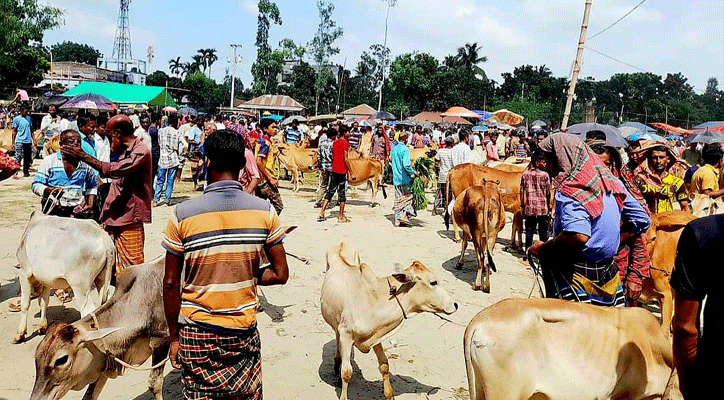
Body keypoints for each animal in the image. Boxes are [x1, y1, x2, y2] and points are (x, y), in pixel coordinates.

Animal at [13, 212, 114, 344]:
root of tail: (104, 237)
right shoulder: (46, 281)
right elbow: (43, 302)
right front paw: (42, 327)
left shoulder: (24, 273)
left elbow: (25, 304)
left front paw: (20, 335)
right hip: (101, 280)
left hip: (80, 287)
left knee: (87, 311)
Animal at [30, 256, 170, 400]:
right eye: (37, 356)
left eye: (61, 360)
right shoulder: (103, 360)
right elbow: (89, 395)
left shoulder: (161, 340)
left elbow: (154, 384)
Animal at [320, 242, 456, 400]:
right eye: (433, 282)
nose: (455, 305)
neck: (374, 300)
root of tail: (341, 243)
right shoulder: (346, 334)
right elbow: (347, 372)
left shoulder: (376, 335)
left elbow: (384, 365)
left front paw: (389, 394)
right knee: (336, 337)